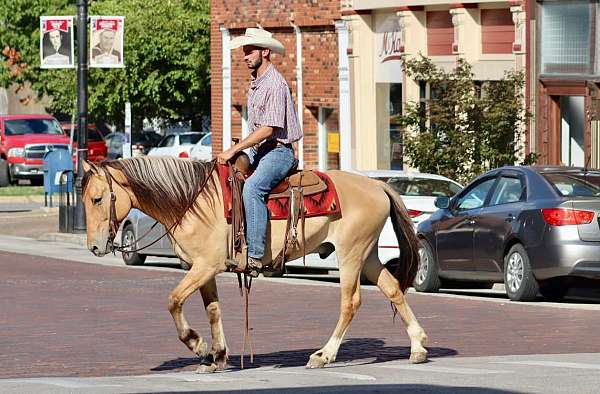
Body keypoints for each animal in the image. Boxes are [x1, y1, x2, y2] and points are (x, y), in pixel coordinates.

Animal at [82, 157, 428, 372]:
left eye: (98, 199)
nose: (95, 246)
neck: (191, 201)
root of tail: (378, 185)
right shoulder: (204, 270)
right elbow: (213, 310)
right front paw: (216, 356)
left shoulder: (204, 266)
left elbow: (174, 300)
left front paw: (198, 345)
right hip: (367, 255)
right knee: (393, 289)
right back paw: (418, 347)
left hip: (351, 254)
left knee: (350, 302)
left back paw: (324, 355)